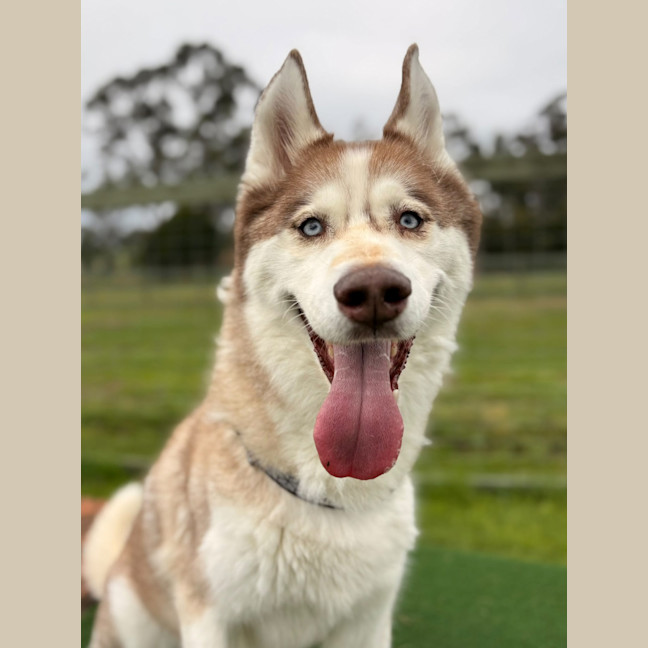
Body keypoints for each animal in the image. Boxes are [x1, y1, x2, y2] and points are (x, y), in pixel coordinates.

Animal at [83, 44, 482, 648]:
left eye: (410, 219)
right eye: (311, 226)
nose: (372, 292)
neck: (334, 491)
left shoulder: (368, 621)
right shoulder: (209, 615)